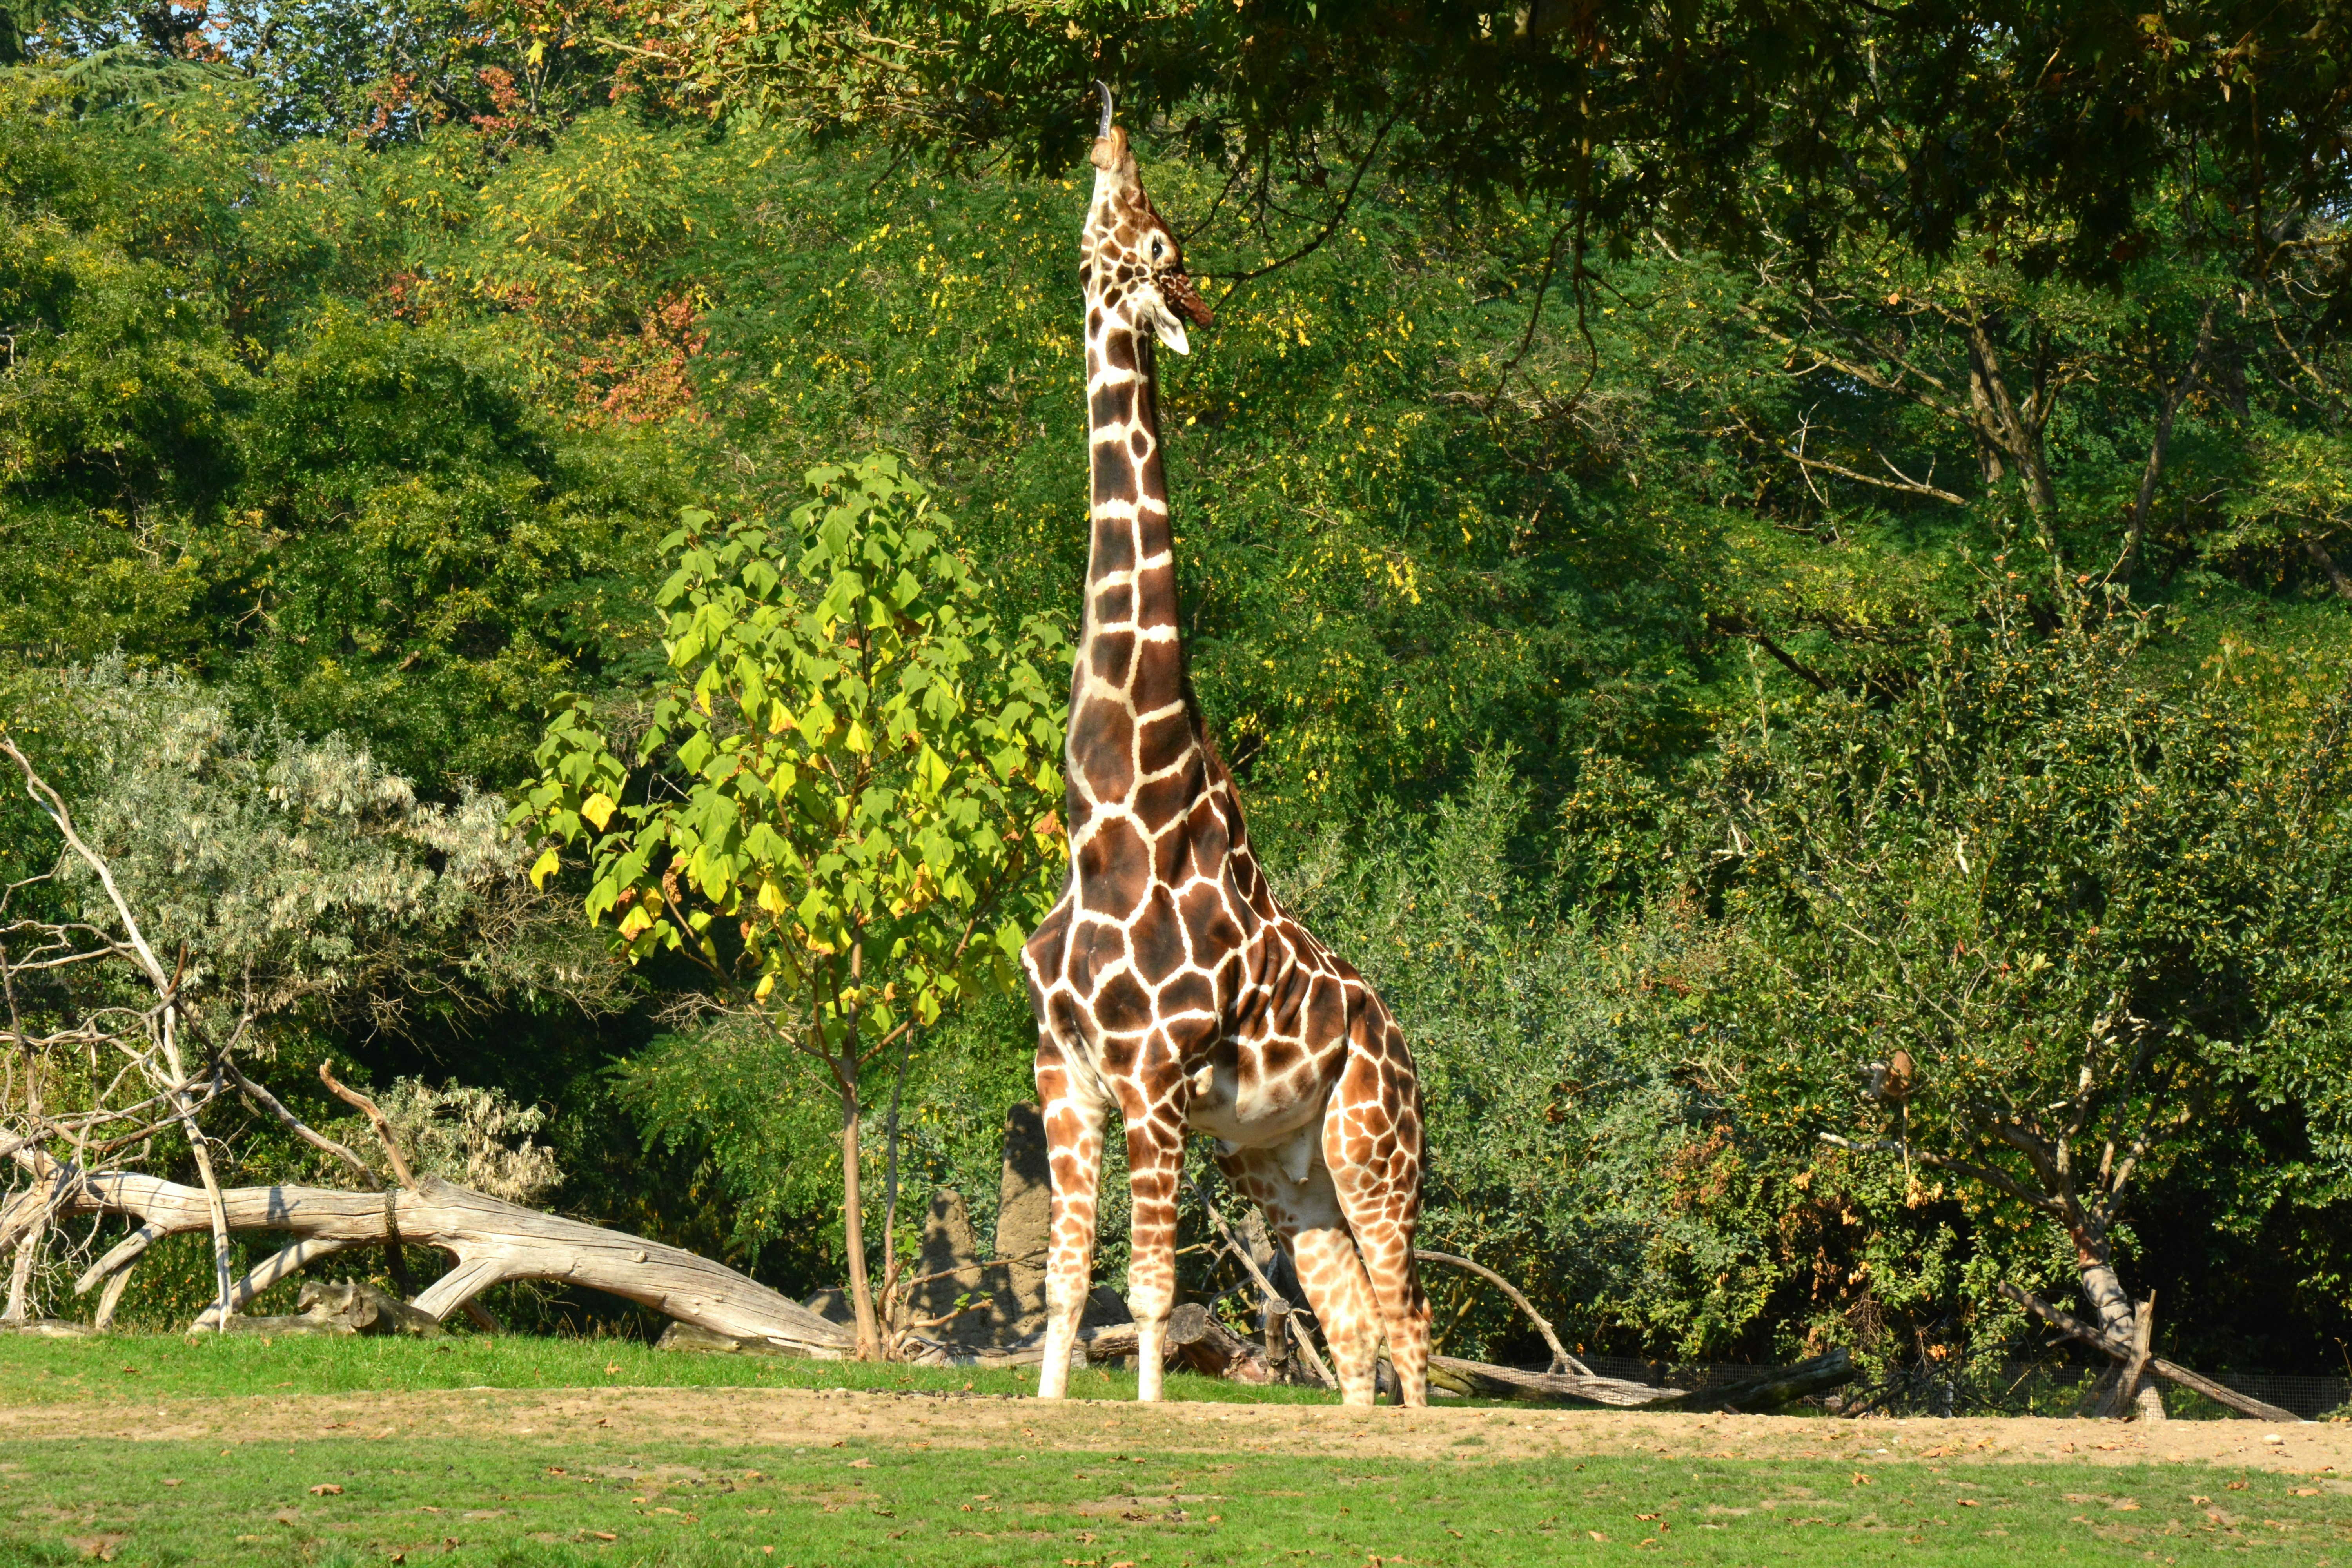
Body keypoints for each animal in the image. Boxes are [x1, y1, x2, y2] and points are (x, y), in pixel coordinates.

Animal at [1020, 85, 1432, 1409]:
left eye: (1159, 242)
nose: (1109, 123)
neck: (1114, 820)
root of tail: (1402, 1042)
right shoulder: (1065, 1071)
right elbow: (1064, 1283)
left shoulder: (1151, 1076)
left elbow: (1148, 1291)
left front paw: (1149, 1417)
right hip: (1279, 1161)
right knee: (1354, 1334)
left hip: (1375, 1146)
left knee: (1412, 1327)